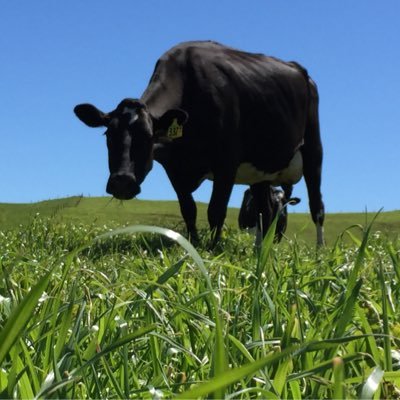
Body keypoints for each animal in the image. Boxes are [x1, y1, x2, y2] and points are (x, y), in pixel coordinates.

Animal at [74, 41, 324, 247]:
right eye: (108, 135)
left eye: (148, 137)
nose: (122, 182)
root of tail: (302, 72)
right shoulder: (174, 168)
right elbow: (189, 210)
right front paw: (192, 244)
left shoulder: (226, 162)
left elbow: (216, 211)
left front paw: (213, 250)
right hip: (261, 171)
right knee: (266, 211)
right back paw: (259, 250)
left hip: (313, 150)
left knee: (317, 206)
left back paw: (319, 253)